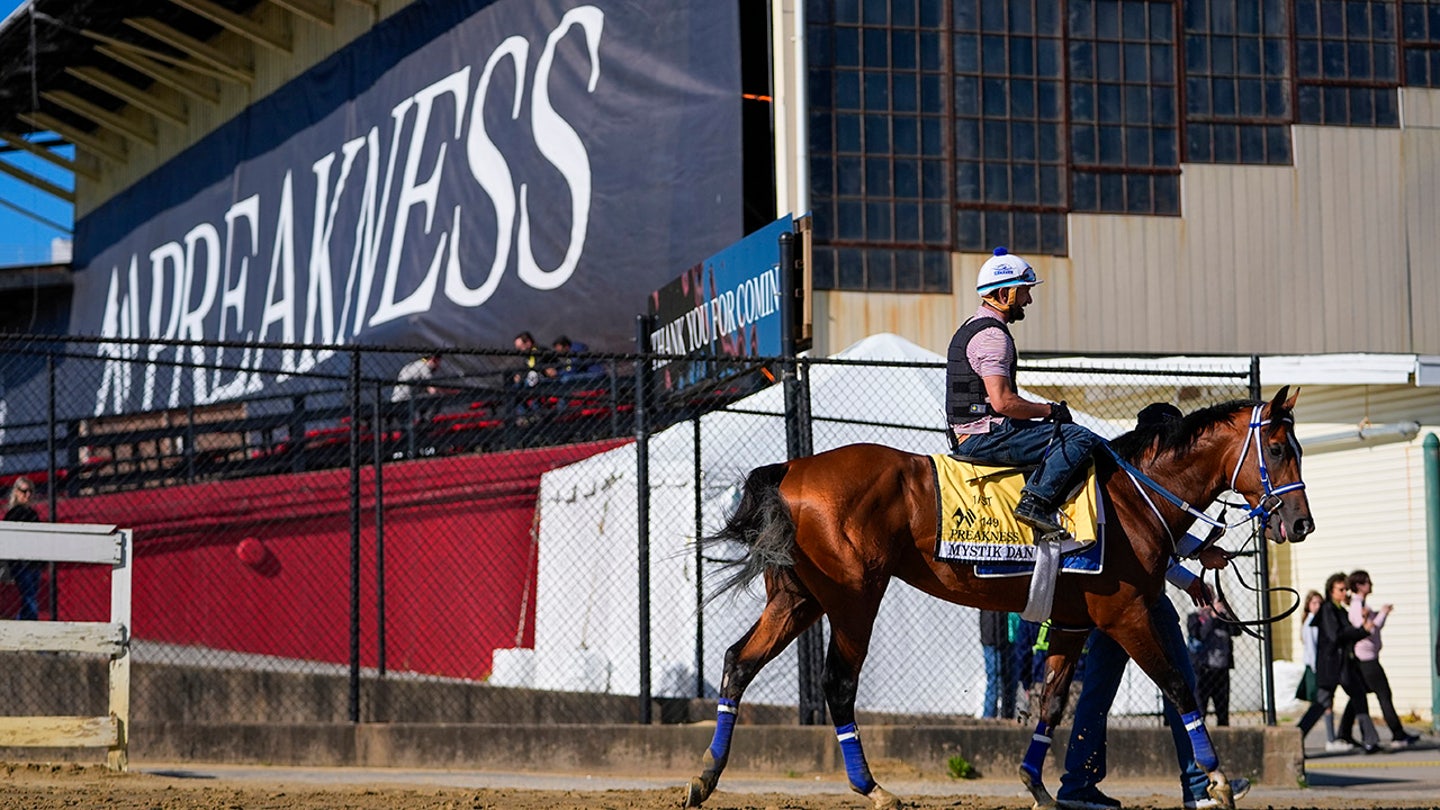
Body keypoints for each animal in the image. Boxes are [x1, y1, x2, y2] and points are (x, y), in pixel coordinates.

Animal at [679, 383, 1313, 807]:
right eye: (1281, 449)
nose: (1301, 523)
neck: (1134, 497)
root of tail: (792, 469)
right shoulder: (1126, 614)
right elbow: (1179, 685)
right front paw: (1218, 779)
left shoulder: (1072, 622)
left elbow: (1052, 704)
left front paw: (1037, 784)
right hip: (854, 600)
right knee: (838, 683)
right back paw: (871, 786)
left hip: (797, 600)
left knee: (738, 662)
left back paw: (706, 774)